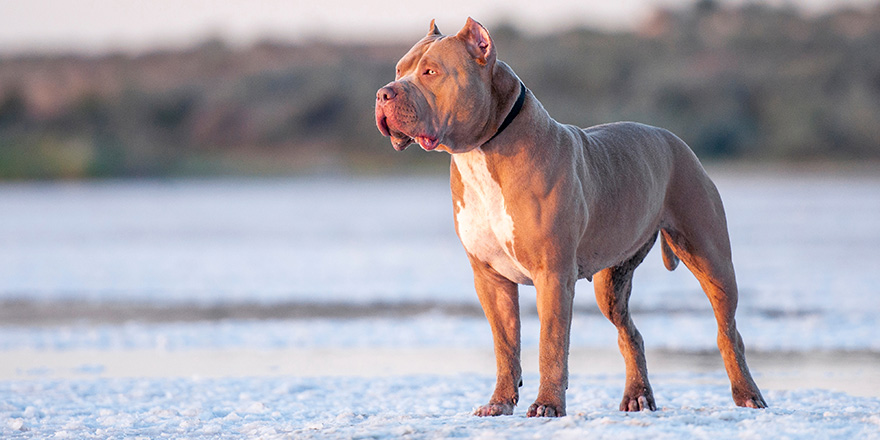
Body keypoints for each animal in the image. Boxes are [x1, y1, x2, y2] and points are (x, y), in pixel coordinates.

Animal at [374, 17, 768, 416]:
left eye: (431, 72)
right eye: (399, 71)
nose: (383, 94)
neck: (481, 151)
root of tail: (674, 139)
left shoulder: (552, 275)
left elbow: (550, 344)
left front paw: (547, 406)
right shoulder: (490, 278)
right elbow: (505, 346)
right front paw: (499, 404)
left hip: (711, 260)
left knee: (728, 332)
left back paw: (747, 395)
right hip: (612, 284)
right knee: (631, 333)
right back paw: (638, 395)